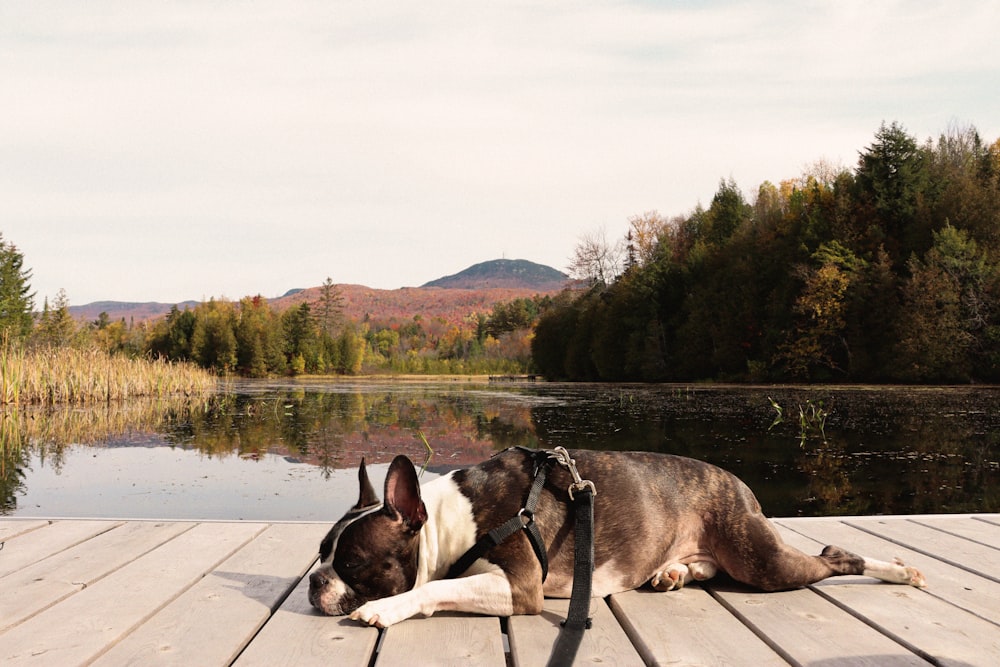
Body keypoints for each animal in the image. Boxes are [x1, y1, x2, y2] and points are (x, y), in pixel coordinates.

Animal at [308, 446, 924, 628]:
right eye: (319, 555)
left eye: (353, 564)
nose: (314, 584)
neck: (448, 521)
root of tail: (735, 479)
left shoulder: (520, 588)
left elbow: (433, 589)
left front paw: (384, 609)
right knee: (706, 565)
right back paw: (674, 571)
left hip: (762, 561)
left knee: (832, 555)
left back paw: (898, 569)